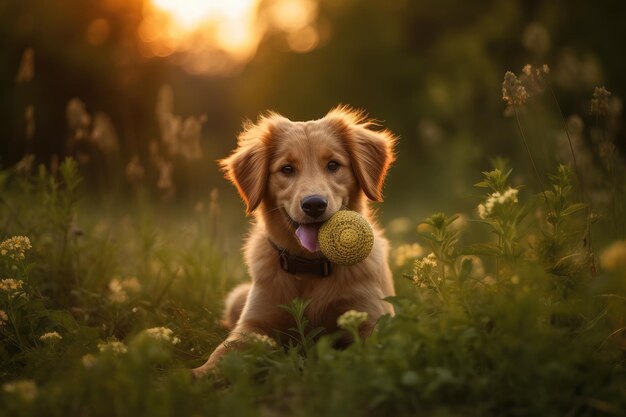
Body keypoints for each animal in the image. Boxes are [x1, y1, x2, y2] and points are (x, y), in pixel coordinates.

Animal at [193, 105, 394, 376]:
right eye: (287, 169)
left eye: (333, 165)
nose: (314, 204)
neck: (310, 267)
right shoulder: (254, 324)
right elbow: (223, 352)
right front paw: (195, 374)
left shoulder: (371, 319)